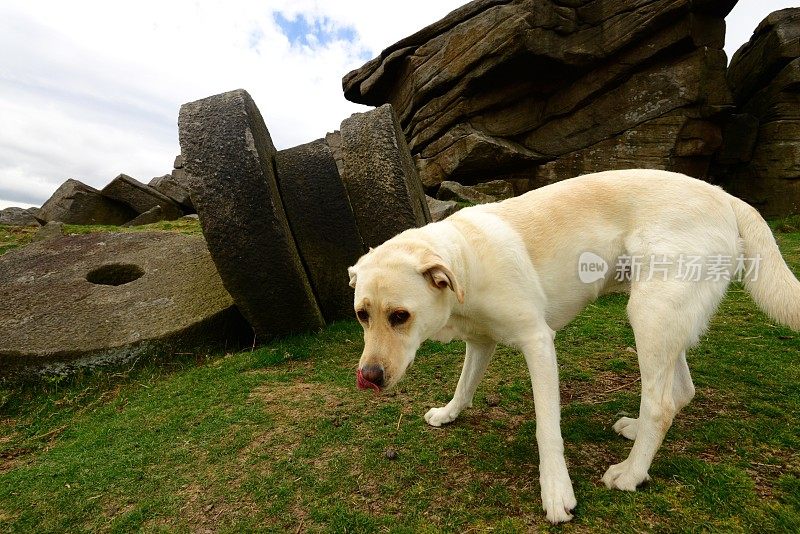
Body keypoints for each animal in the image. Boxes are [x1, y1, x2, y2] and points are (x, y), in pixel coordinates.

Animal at [348, 170, 800, 524]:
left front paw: (556, 492)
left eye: (400, 316)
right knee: (681, 391)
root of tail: (723, 194)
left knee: (661, 405)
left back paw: (631, 472)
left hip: (650, 313)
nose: (368, 378)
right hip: (665, 317)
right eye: (362, 315)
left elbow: (546, 429)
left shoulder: (538, 342)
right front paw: (448, 413)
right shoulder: (480, 342)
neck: (465, 261)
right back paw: (635, 430)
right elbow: (464, 386)